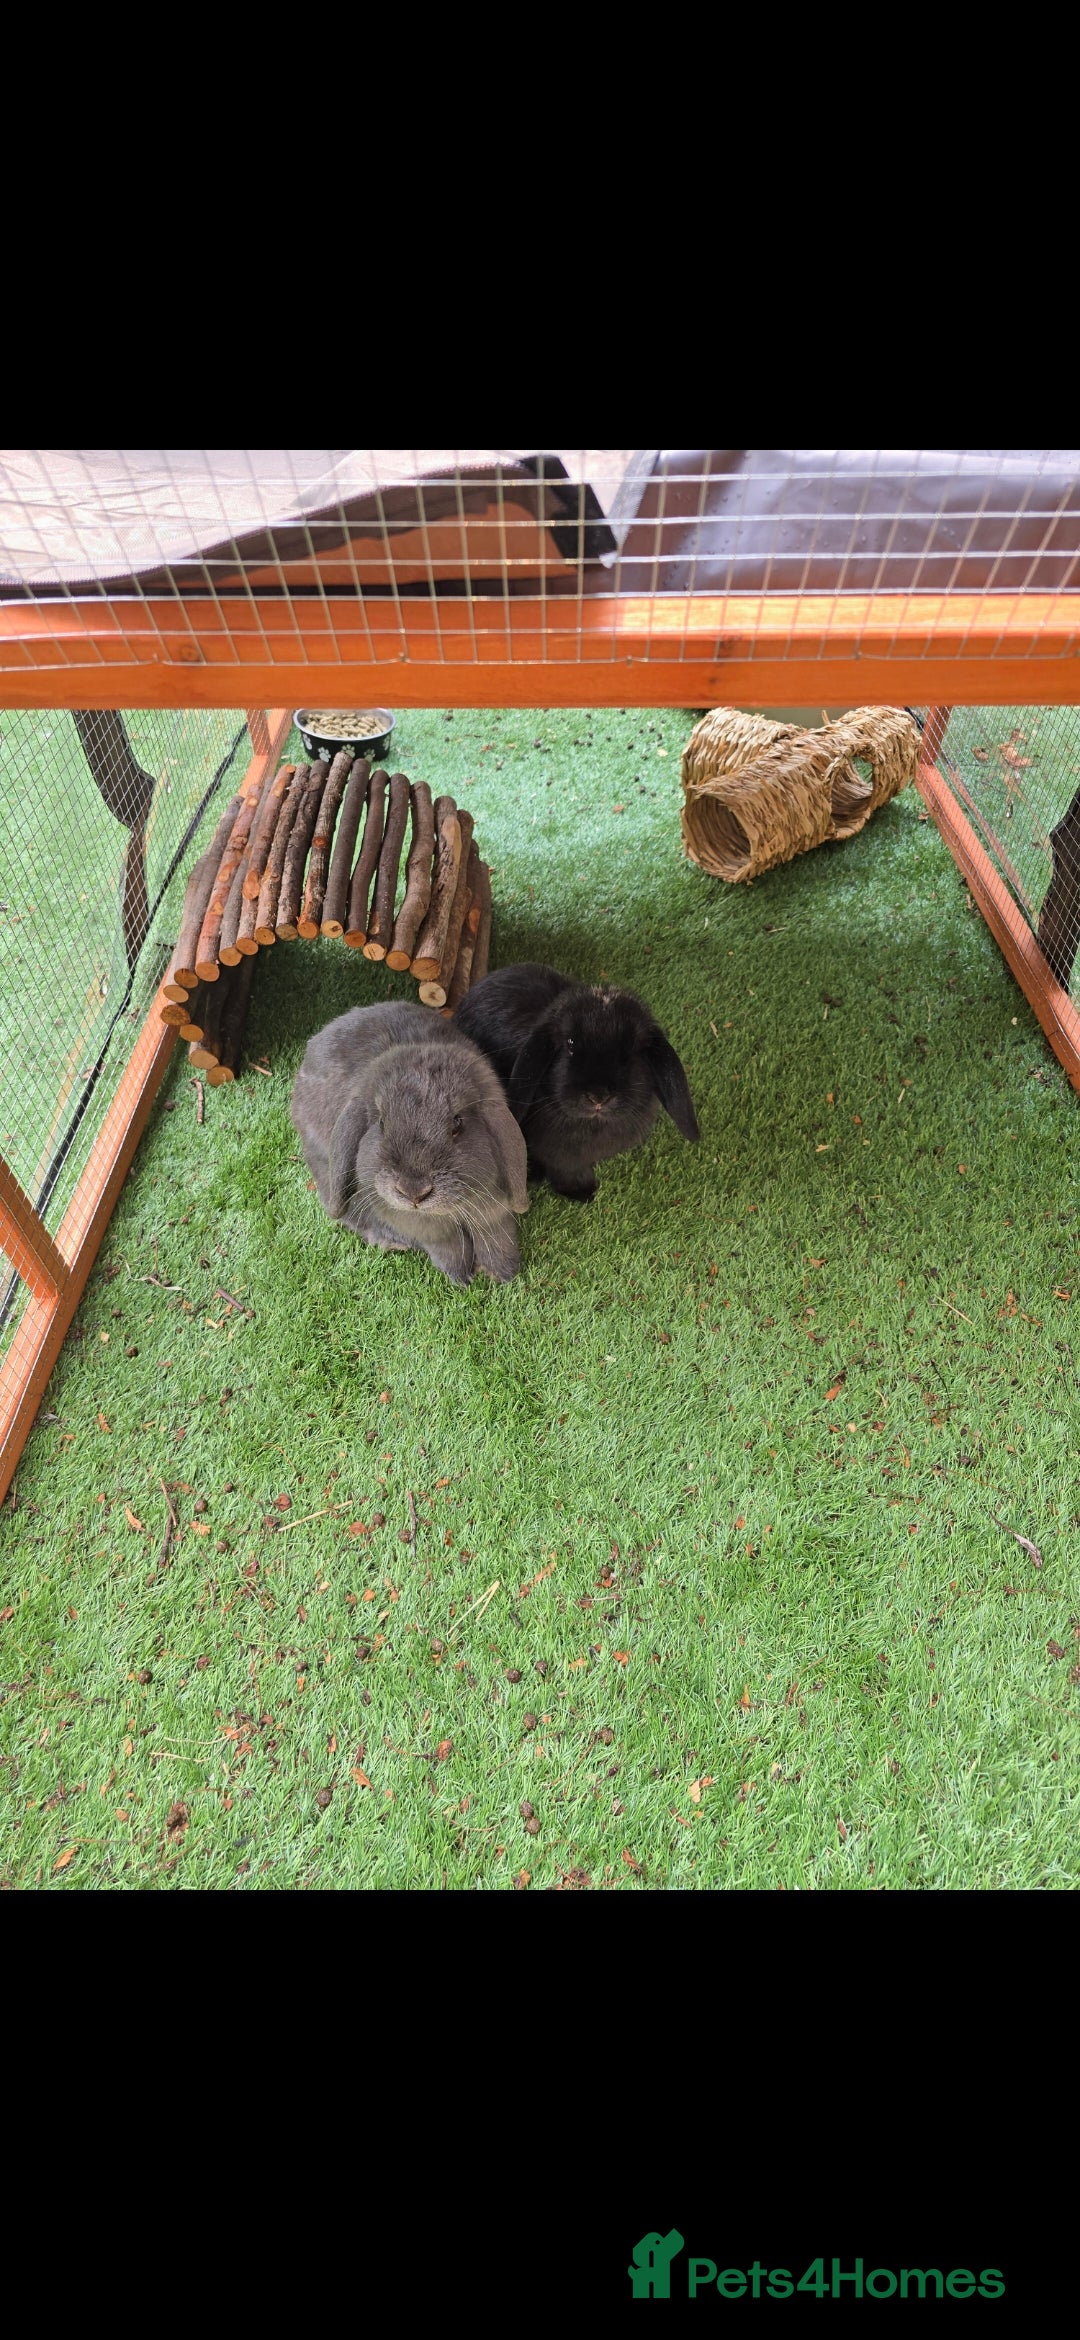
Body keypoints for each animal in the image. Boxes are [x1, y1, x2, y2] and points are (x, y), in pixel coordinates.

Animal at [290, 1002, 529, 1285]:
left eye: (457, 1123)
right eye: (381, 1123)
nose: (413, 1192)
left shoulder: (493, 1208)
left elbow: (495, 1233)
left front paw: (502, 1272)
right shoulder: (420, 1224)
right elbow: (447, 1244)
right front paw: (460, 1277)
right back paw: (391, 1241)